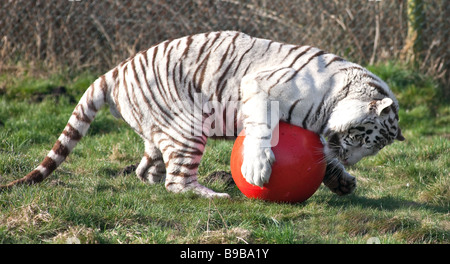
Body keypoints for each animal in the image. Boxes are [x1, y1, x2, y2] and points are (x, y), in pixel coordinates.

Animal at [0, 31, 406, 198]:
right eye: (362, 137)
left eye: (370, 149)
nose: (350, 159)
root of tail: (115, 71)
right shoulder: (260, 87)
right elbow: (262, 131)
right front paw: (257, 169)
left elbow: (323, 157)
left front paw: (342, 180)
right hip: (188, 127)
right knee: (177, 182)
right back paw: (213, 195)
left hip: (161, 130)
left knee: (148, 168)